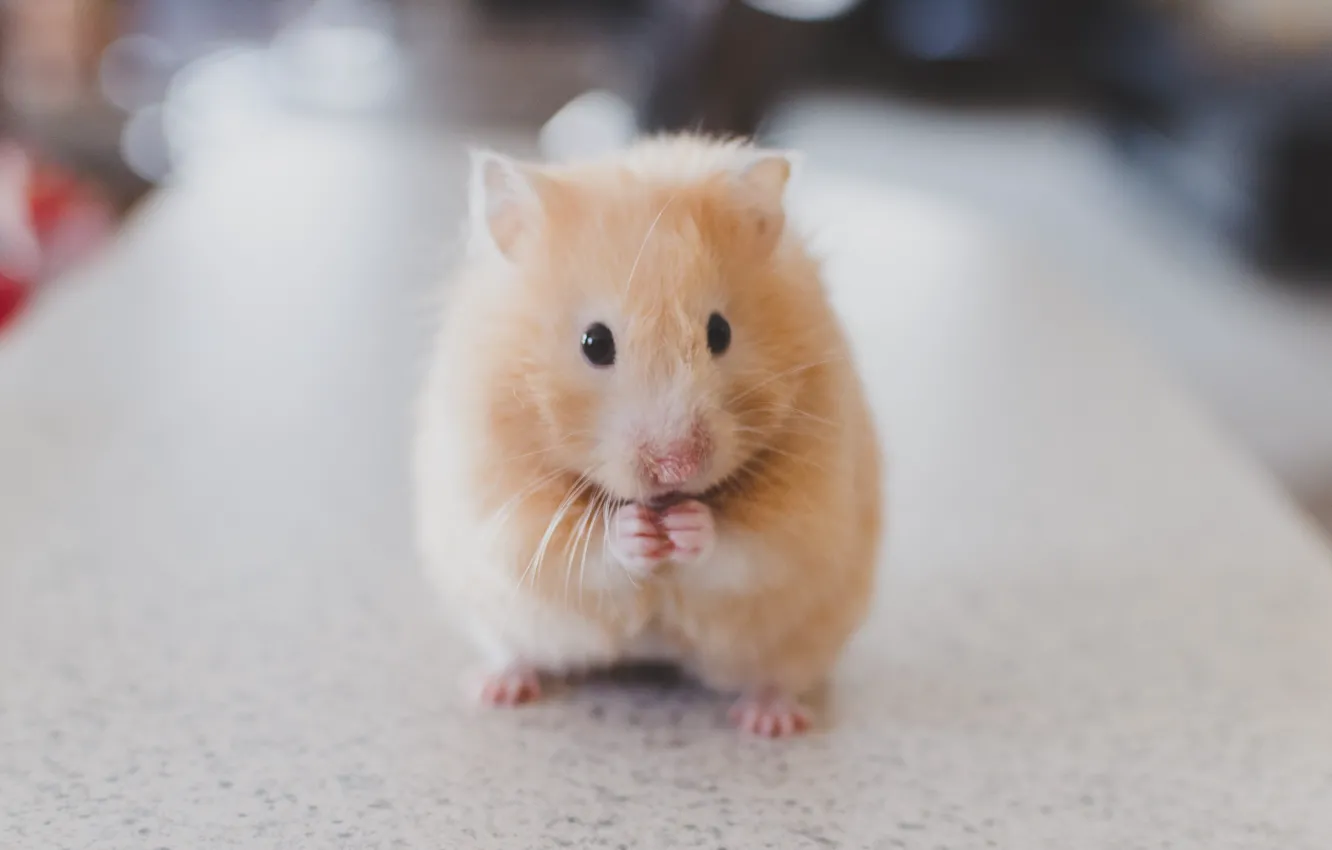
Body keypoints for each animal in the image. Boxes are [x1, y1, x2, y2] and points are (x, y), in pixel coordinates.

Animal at [413, 135, 882, 737]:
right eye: (595, 342)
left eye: (720, 332)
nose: (676, 467)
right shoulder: (503, 506)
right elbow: (579, 549)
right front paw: (636, 531)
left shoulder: (807, 511)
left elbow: (746, 547)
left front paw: (687, 526)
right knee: (514, 649)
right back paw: (495, 688)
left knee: (777, 675)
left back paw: (769, 721)